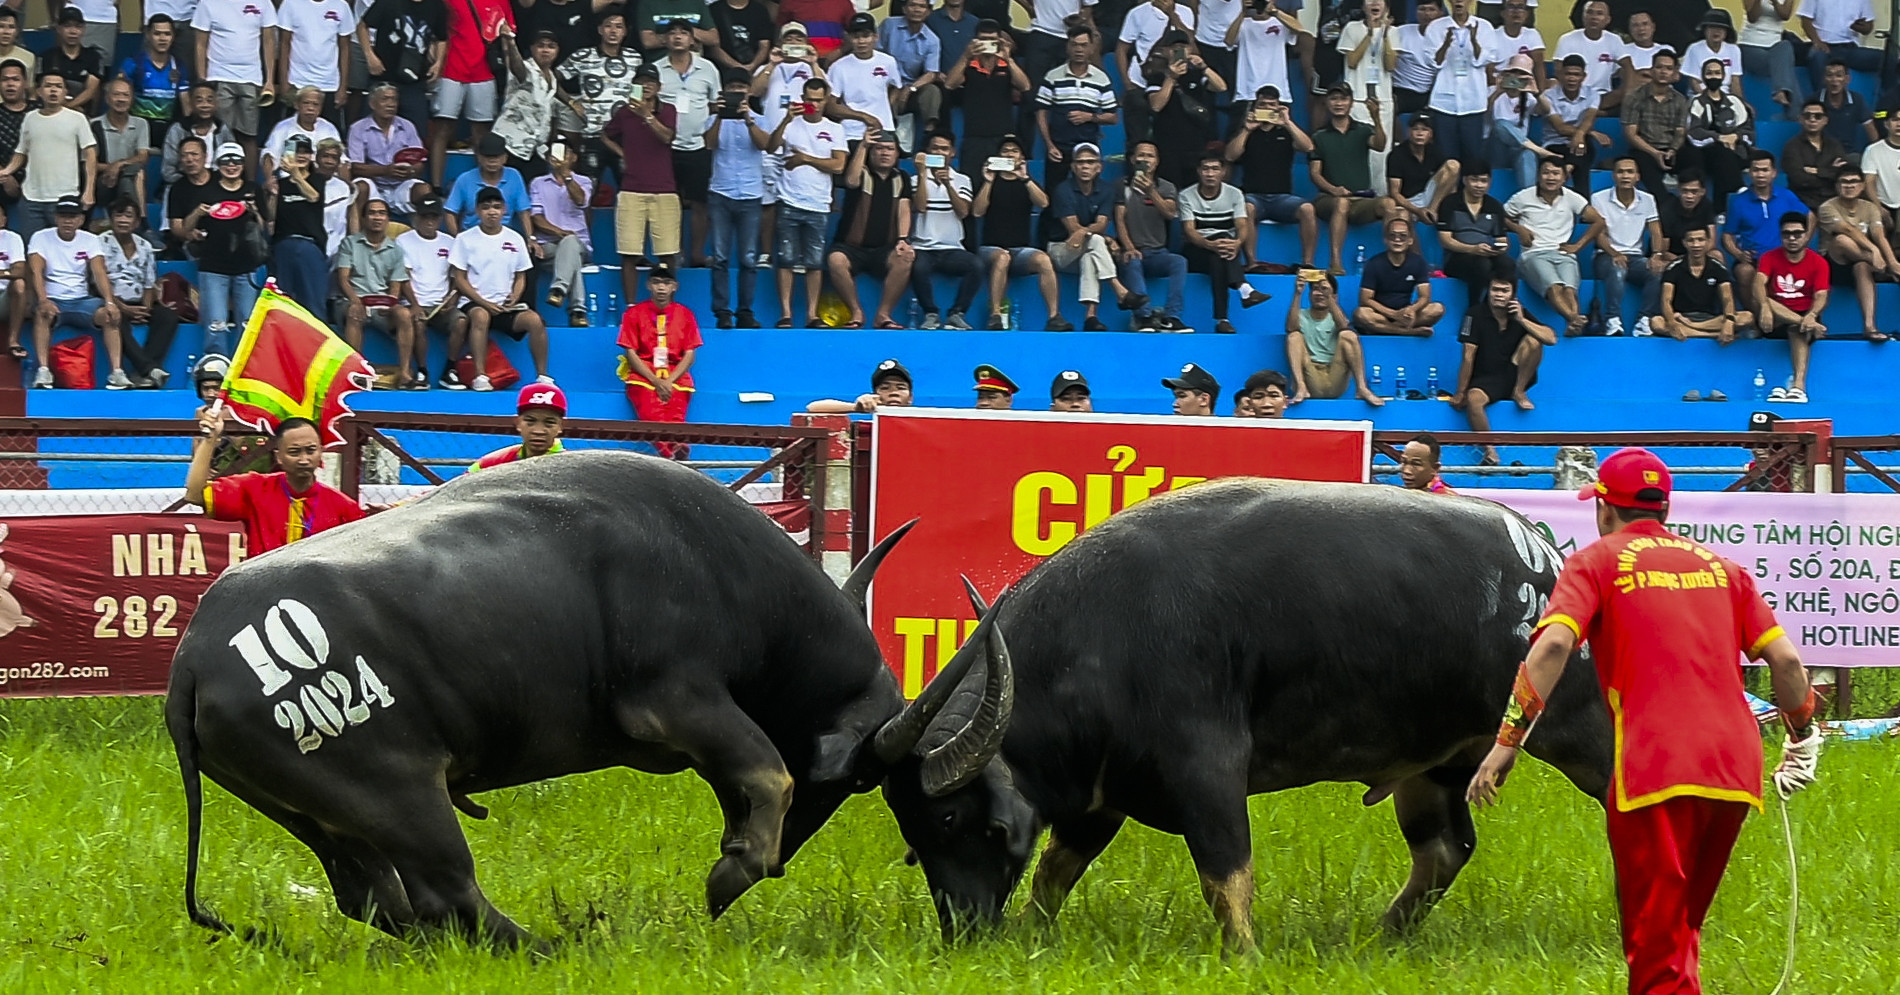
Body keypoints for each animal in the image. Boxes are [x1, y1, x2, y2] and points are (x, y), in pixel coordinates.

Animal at [171, 450, 1018, 941]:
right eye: (863, 779)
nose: (782, 857)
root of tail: (194, 656)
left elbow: (750, 779)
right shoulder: (679, 699)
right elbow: (765, 769)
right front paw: (730, 874)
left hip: (323, 815)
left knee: (383, 899)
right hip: (400, 796)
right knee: (445, 890)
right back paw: (556, 943)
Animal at [881, 478, 1611, 953]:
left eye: (949, 817)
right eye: (912, 838)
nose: (964, 931)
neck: (1100, 637)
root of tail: (1546, 556)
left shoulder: (1205, 766)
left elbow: (1226, 874)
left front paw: (1246, 956)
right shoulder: (1102, 795)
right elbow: (1055, 872)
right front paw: (1034, 936)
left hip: (1580, 729)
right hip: (1432, 768)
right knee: (1443, 850)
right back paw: (1377, 940)